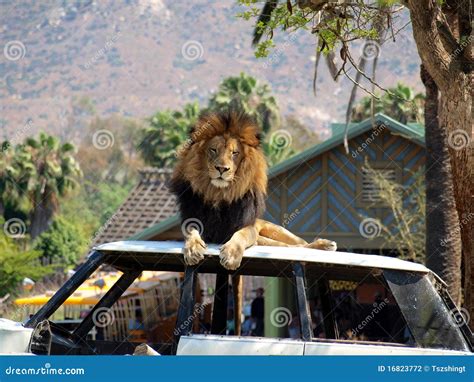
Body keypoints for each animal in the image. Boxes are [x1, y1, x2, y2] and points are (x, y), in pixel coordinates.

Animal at [170, 109, 336, 334]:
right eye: (213, 150)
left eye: (234, 153)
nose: (222, 169)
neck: (219, 194)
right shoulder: (192, 220)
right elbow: (192, 233)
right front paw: (193, 249)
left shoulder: (247, 227)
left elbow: (239, 236)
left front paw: (231, 254)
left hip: (274, 234)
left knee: (300, 245)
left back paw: (326, 245)